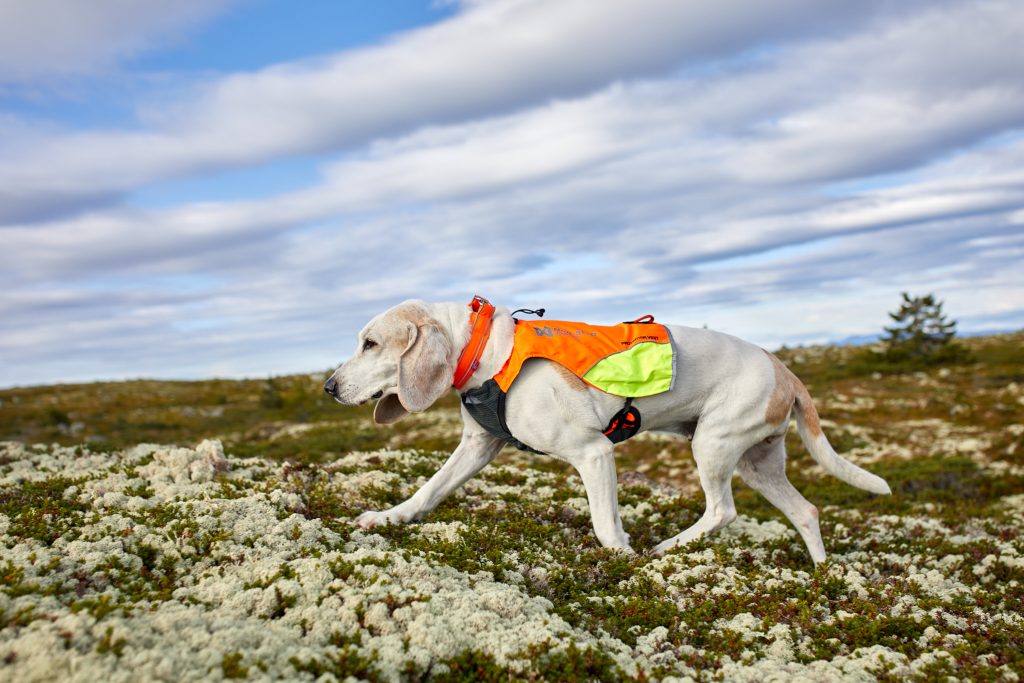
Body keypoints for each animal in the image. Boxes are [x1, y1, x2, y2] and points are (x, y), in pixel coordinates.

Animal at [325, 296, 888, 561]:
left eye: (371, 344)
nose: (329, 387)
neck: (486, 350)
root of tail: (784, 369)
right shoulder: (478, 447)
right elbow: (428, 490)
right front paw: (388, 517)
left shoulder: (593, 453)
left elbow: (604, 526)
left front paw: (622, 561)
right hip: (758, 463)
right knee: (807, 511)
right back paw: (822, 578)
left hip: (713, 446)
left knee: (722, 511)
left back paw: (664, 550)